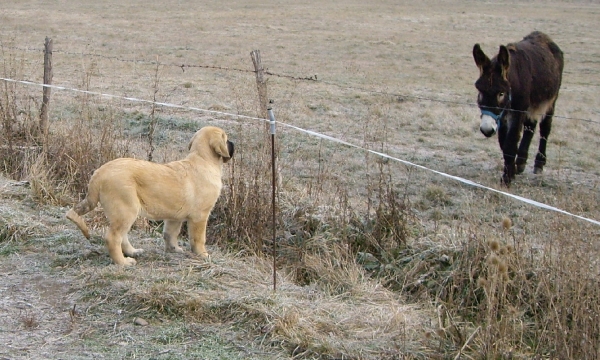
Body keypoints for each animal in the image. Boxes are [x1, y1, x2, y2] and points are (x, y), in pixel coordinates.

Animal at [66, 126, 234, 264]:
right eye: (226, 139)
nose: (233, 143)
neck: (202, 159)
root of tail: (99, 173)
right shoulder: (200, 215)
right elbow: (199, 238)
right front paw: (203, 255)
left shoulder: (174, 216)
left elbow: (170, 233)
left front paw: (173, 249)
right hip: (126, 209)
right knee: (113, 238)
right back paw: (123, 262)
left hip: (123, 212)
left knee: (122, 236)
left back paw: (133, 252)